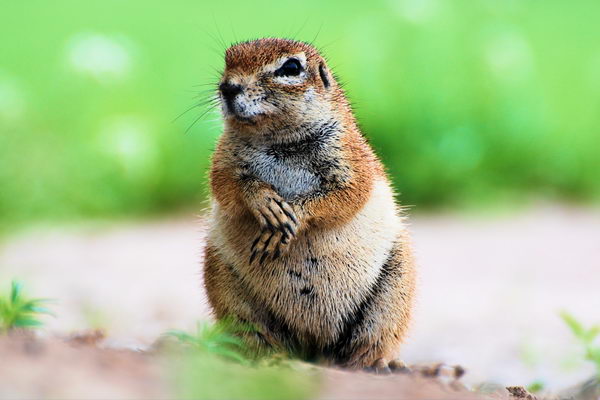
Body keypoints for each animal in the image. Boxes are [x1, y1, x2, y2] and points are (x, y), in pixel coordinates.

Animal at [204, 38, 414, 372]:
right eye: (228, 60)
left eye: (291, 67)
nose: (228, 87)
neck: (277, 138)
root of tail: (315, 346)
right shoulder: (222, 160)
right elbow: (227, 188)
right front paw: (264, 201)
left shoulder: (350, 158)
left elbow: (346, 194)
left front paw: (295, 214)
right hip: (230, 293)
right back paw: (273, 360)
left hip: (392, 295)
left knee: (363, 347)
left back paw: (382, 365)